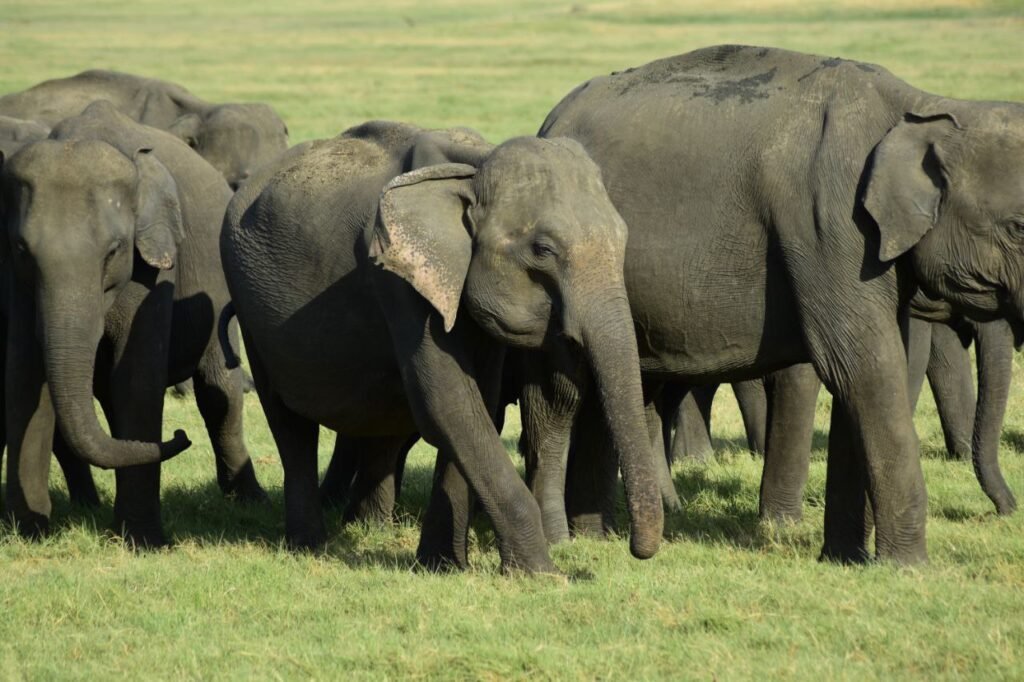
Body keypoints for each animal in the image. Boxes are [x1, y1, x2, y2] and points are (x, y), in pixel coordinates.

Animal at [0, 98, 268, 540]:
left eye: (114, 250)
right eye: (22, 249)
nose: (180, 435)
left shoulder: (154, 265)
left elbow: (137, 375)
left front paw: (143, 539)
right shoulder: (18, 281)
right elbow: (25, 374)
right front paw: (30, 530)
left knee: (219, 391)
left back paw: (248, 499)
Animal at [221, 120, 663, 569]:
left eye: (623, 237)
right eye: (543, 250)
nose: (634, 550)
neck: (475, 166)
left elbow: (477, 399)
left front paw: (443, 565)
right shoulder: (397, 281)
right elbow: (449, 400)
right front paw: (542, 573)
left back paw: (368, 528)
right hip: (249, 305)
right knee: (290, 426)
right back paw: (309, 545)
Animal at [524, 43, 1024, 561]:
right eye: (1018, 228)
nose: (1007, 512)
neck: (923, 104)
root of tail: (548, 122)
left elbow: (861, 371)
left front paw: (845, 560)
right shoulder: (830, 226)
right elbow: (859, 363)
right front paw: (907, 567)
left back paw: (595, 535)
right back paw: (582, 538)